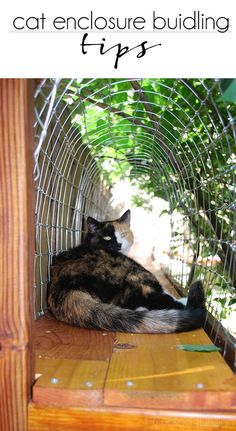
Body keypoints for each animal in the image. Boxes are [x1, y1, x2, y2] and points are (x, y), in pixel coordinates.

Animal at [47, 210, 205, 334]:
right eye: (107, 237)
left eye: (123, 234)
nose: (119, 244)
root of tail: (63, 285)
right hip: (136, 274)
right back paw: (183, 301)